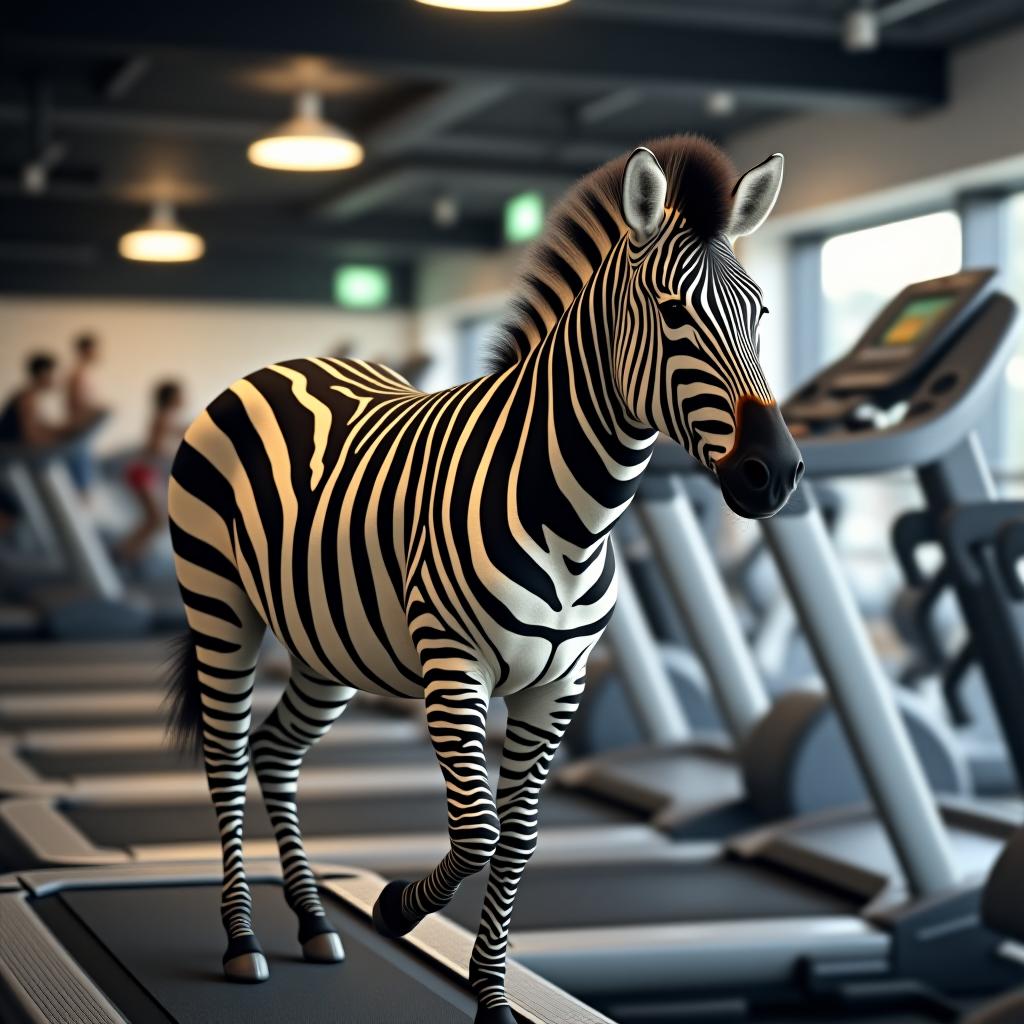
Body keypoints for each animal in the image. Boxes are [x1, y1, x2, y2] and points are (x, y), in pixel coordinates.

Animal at [165, 136, 798, 1024]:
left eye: (762, 314)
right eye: (673, 312)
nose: (775, 473)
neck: (572, 518)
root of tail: (282, 365)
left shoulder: (559, 685)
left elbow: (521, 836)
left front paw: (492, 995)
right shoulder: (452, 664)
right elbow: (477, 830)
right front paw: (396, 908)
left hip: (329, 643)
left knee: (275, 751)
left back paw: (317, 921)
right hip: (220, 608)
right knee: (226, 756)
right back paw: (242, 939)